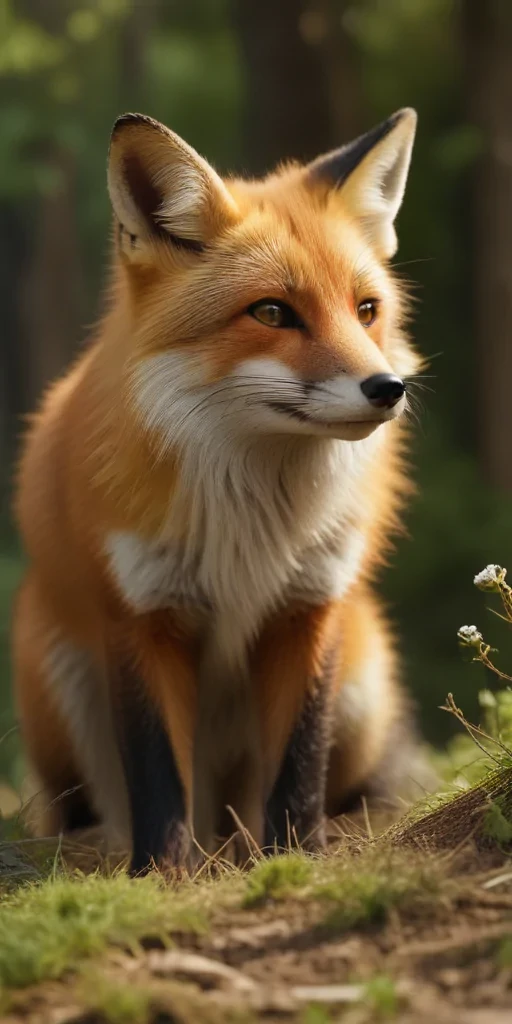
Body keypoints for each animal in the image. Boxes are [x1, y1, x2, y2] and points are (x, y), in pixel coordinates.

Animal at [13, 107, 427, 874]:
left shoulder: (309, 606)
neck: (253, 518)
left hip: (366, 674)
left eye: (366, 310)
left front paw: (299, 861)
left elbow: (298, 765)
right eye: (271, 313)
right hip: (54, 673)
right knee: (89, 807)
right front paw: (162, 876)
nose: (387, 389)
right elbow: (157, 775)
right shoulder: (141, 616)